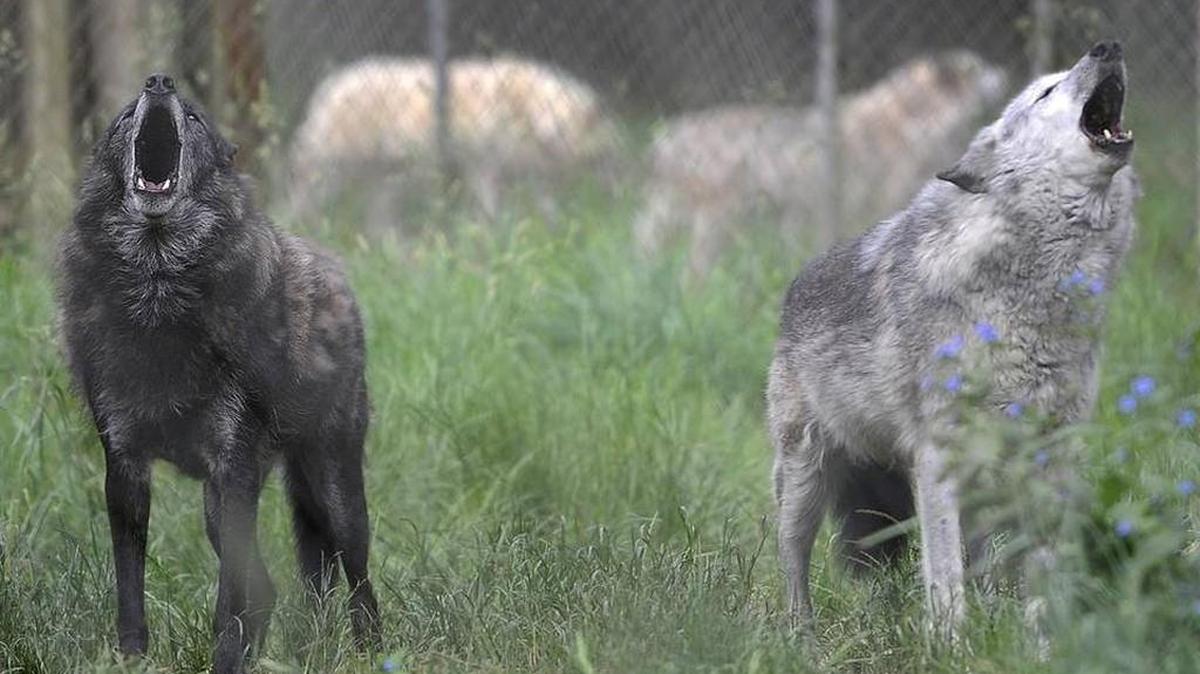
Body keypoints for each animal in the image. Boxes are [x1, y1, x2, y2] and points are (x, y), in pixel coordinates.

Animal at [57, 74, 381, 672]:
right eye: (124, 116)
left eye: (194, 116)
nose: (158, 80)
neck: (159, 294)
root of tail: (333, 272)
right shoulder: (125, 468)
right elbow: (131, 591)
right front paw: (133, 659)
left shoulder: (234, 473)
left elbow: (228, 602)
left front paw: (226, 663)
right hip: (220, 506)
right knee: (271, 588)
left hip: (333, 492)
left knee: (357, 581)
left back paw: (372, 651)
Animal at [635, 52, 1007, 279]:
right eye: (977, 68)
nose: (1003, 75)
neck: (914, 119)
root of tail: (667, 137)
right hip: (715, 222)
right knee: (692, 270)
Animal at [767, 41, 1137, 634]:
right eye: (1046, 92)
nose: (1107, 47)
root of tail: (798, 282)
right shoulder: (938, 458)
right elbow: (944, 582)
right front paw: (952, 645)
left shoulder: (1051, 458)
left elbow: (1041, 579)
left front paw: (1043, 643)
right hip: (805, 481)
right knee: (794, 563)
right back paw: (801, 639)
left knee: (982, 562)